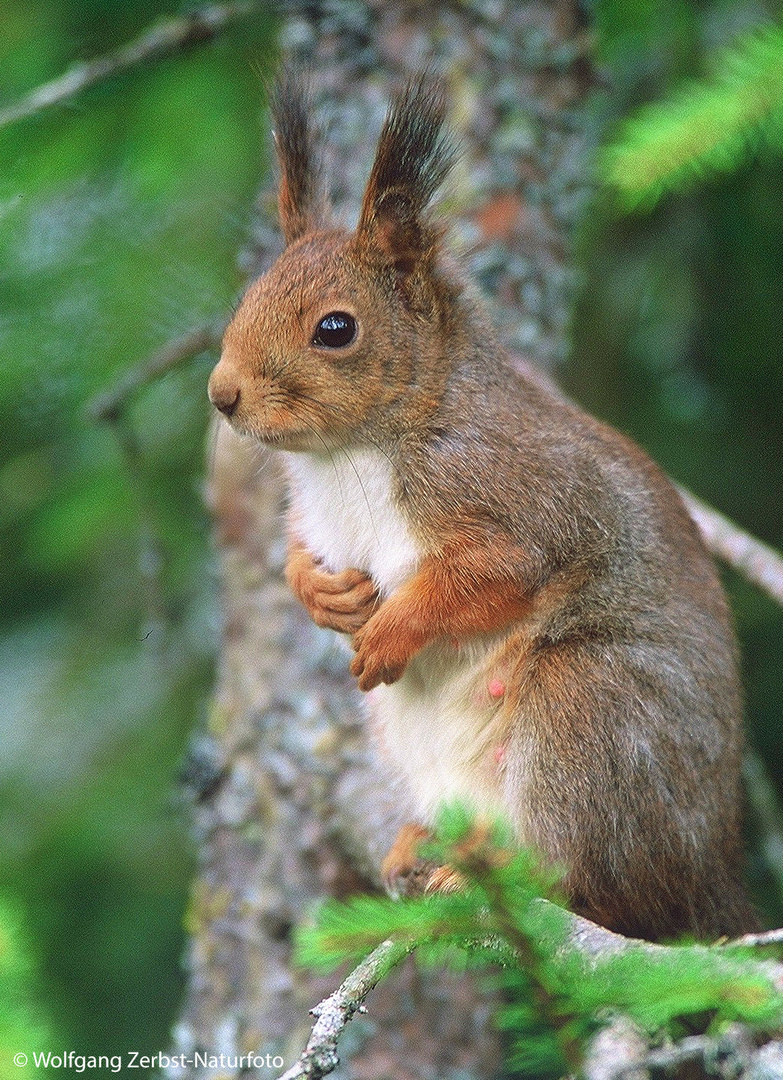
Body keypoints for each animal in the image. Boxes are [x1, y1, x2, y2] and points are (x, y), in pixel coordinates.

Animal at [206, 73, 751, 937]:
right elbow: (294, 558)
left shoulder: (520, 501)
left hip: (589, 710)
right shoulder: (315, 518)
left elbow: (485, 579)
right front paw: (321, 594)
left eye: (335, 328)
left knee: (591, 883)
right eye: (247, 295)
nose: (221, 394)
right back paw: (429, 846)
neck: (348, 458)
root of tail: (708, 882)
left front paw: (392, 629)